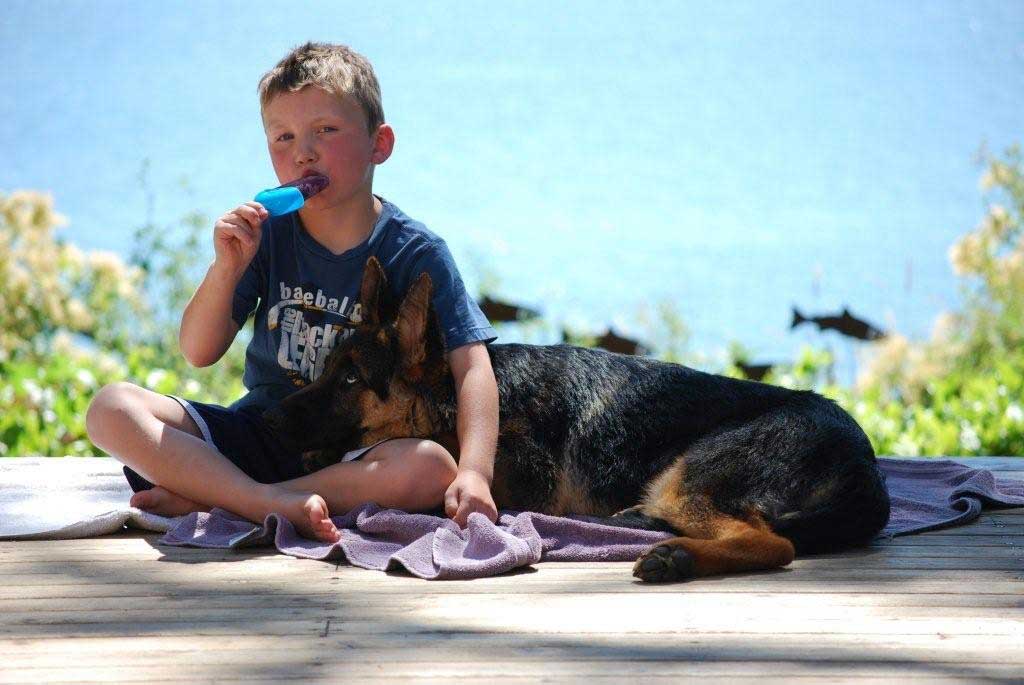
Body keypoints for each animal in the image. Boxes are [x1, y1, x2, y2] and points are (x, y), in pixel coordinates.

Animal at [264, 258, 888, 581]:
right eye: (327, 369)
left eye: (350, 380)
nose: (268, 418)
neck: (455, 399)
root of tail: (865, 463)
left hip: (691, 473)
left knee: (774, 545)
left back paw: (676, 557)